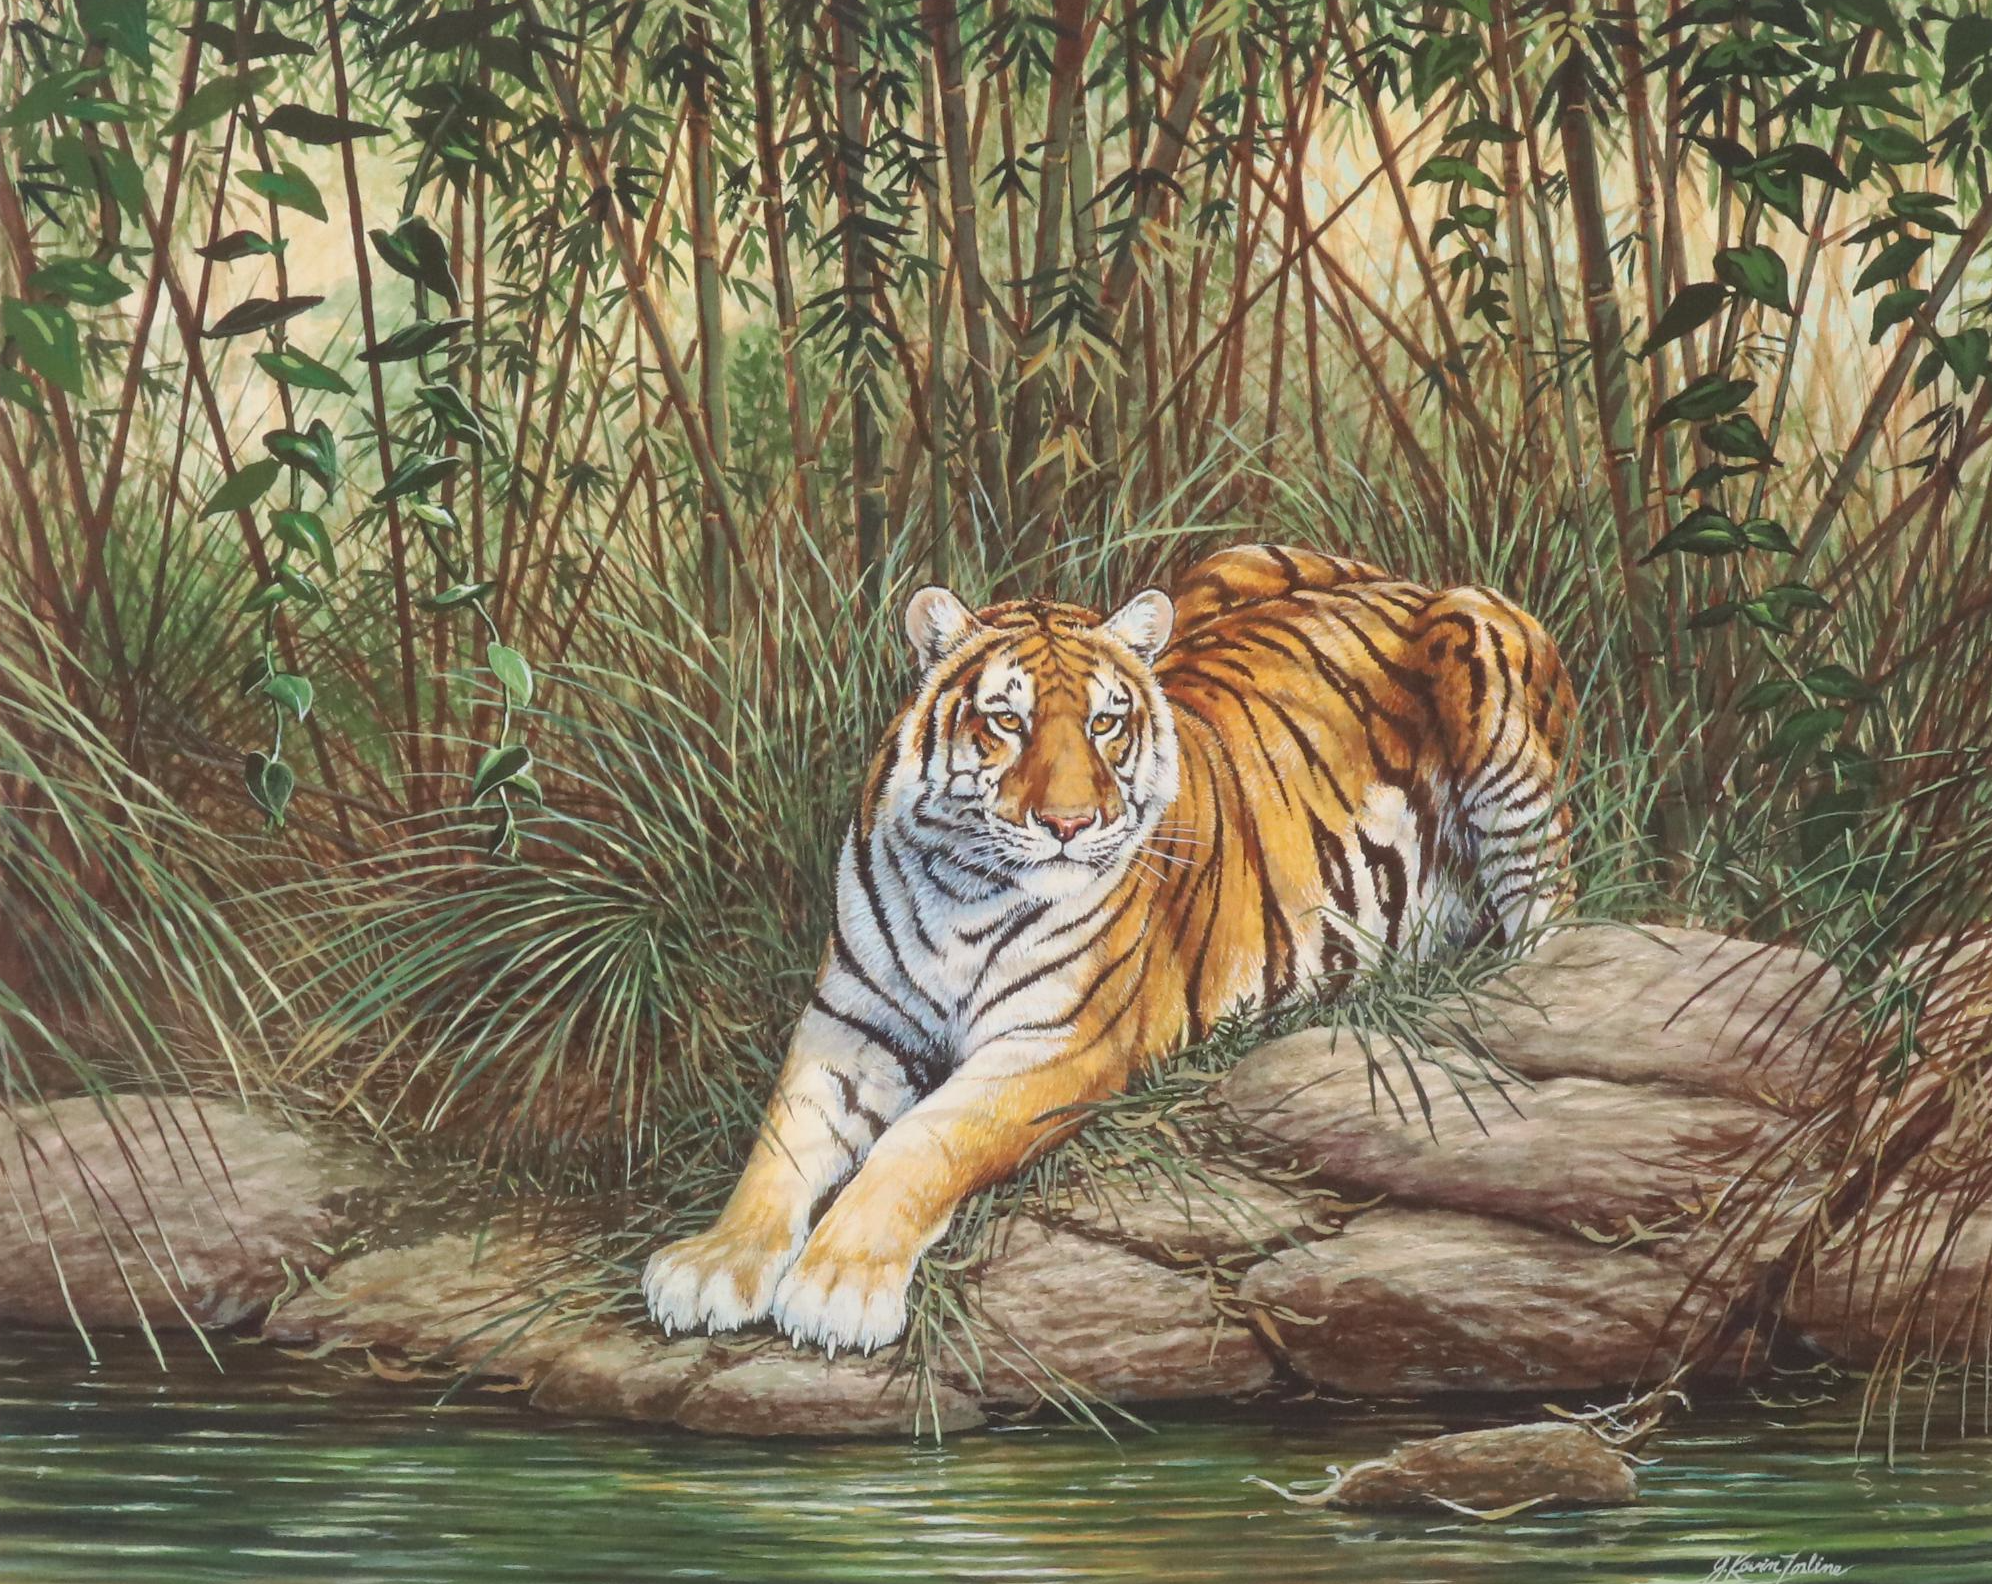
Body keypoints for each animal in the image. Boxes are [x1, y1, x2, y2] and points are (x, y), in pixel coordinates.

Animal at [642, 543, 1579, 1355]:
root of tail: (1405, 579)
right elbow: (780, 1144)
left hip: (1484, 664)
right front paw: (714, 1265)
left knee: (1548, 918)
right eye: (1006, 721)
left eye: (1104, 724)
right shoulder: (852, 1024)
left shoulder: (1057, 1044)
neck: (962, 883)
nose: (1069, 824)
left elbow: (921, 1143)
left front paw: (836, 1287)